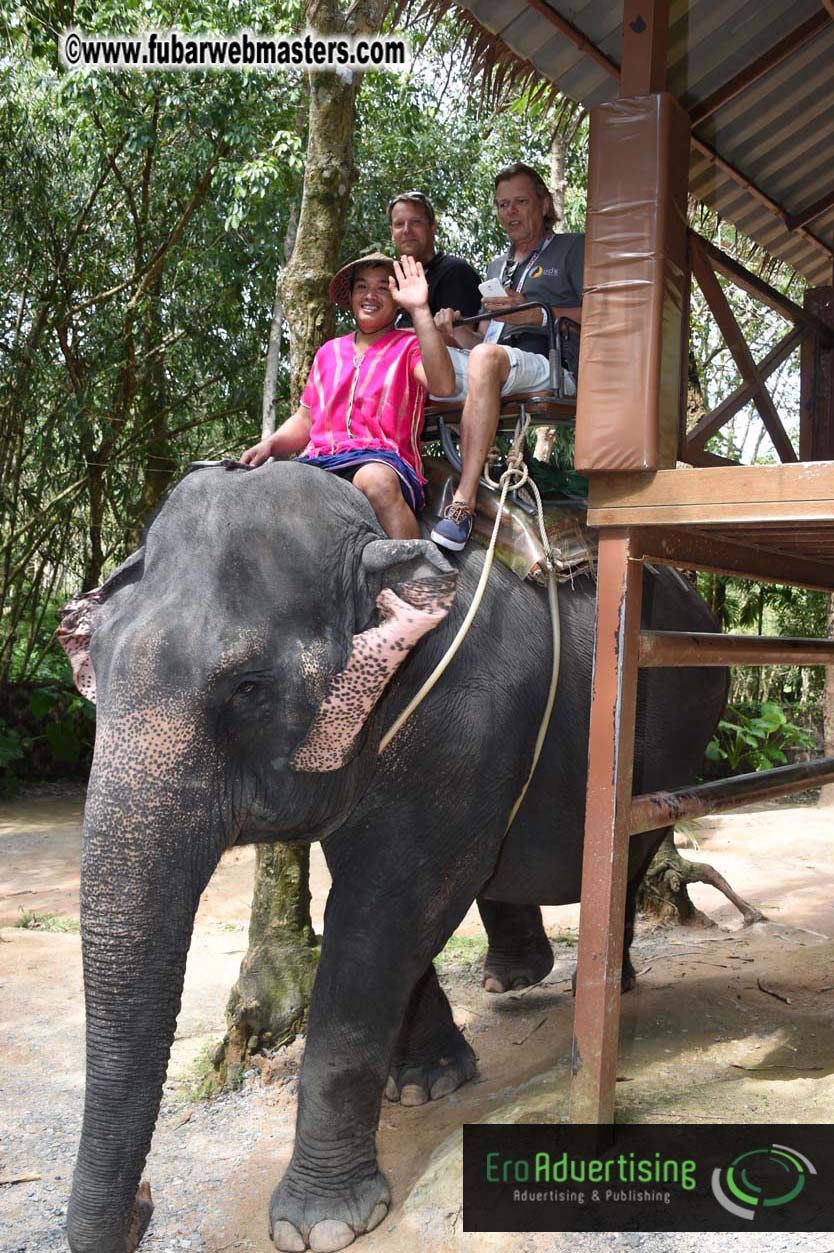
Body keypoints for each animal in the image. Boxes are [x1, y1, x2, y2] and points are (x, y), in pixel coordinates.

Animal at [58, 459, 727, 1253]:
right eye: (92, 670)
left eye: (248, 687)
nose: (144, 1204)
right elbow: (393, 908)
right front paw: (426, 1084)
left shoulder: (456, 719)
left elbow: (388, 910)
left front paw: (322, 1225)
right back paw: (513, 976)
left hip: (677, 722)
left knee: (633, 845)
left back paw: (601, 984)